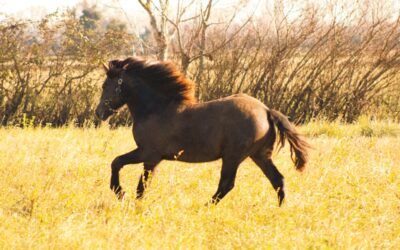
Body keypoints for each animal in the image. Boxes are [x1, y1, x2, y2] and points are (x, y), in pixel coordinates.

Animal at [94, 57, 310, 206]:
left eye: (106, 85)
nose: (99, 113)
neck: (157, 108)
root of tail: (266, 111)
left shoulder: (149, 155)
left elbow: (131, 175)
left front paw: (123, 196)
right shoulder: (149, 156)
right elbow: (122, 167)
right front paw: (124, 196)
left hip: (233, 157)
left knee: (227, 184)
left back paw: (204, 207)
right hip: (260, 156)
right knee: (278, 180)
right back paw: (280, 209)